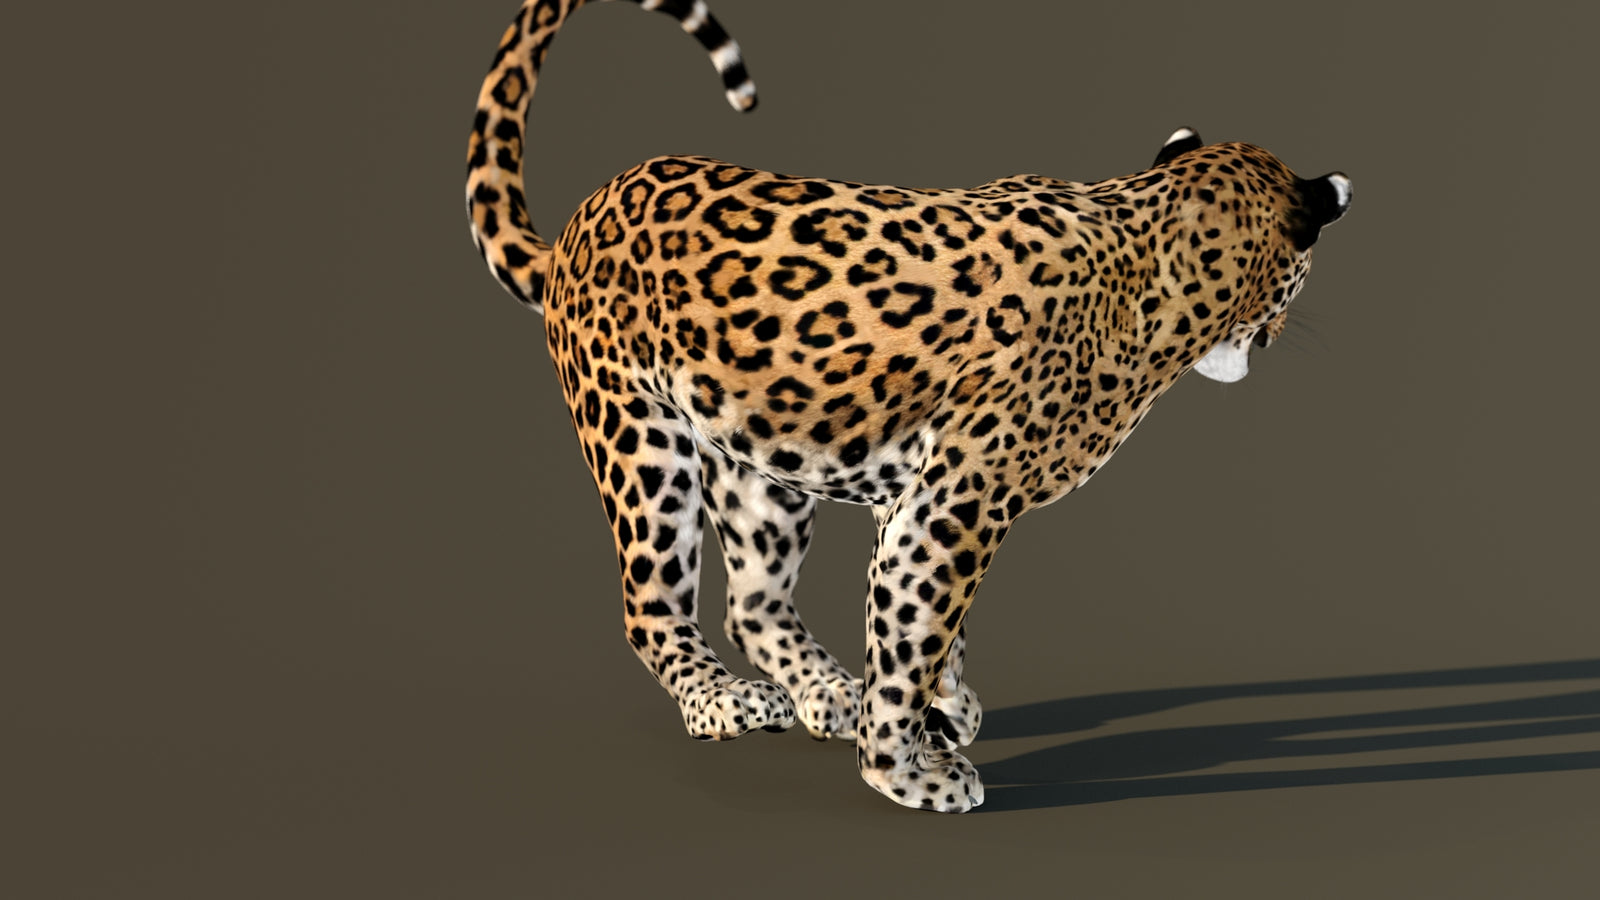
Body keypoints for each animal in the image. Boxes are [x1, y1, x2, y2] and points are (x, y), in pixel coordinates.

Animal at [465, 0, 1352, 813]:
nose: (1272, 337)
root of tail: (575, 229)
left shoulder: (912, 496)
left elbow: (918, 626)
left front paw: (943, 708)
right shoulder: (957, 502)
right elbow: (918, 628)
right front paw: (904, 769)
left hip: (758, 461)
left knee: (753, 601)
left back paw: (829, 692)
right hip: (642, 443)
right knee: (650, 604)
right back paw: (726, 700)